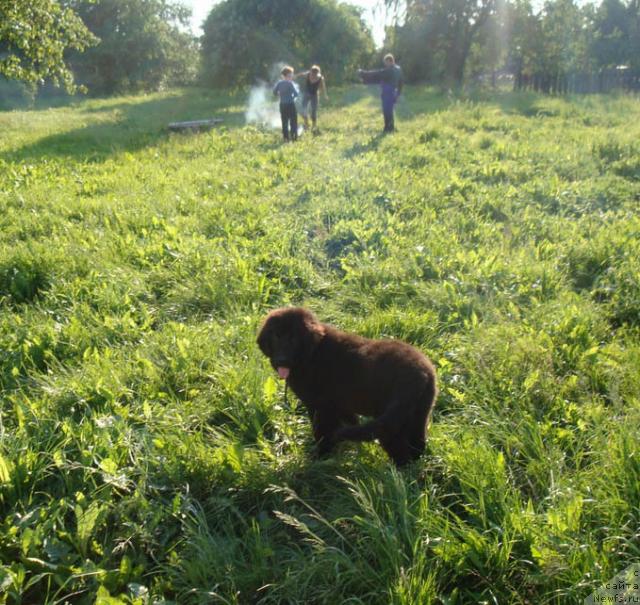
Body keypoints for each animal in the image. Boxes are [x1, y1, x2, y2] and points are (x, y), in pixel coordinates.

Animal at [258, 310, 438, 464]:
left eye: (294, 339)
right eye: (276, 336)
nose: (281, 360)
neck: (312, 353)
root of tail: (421, 373)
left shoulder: (321, 407)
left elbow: (322, 432)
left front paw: (320, 457)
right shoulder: (339, 407)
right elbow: (349, 421)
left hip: (392, 417)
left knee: (399, 449)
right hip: (418, 412)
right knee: (417, 443)